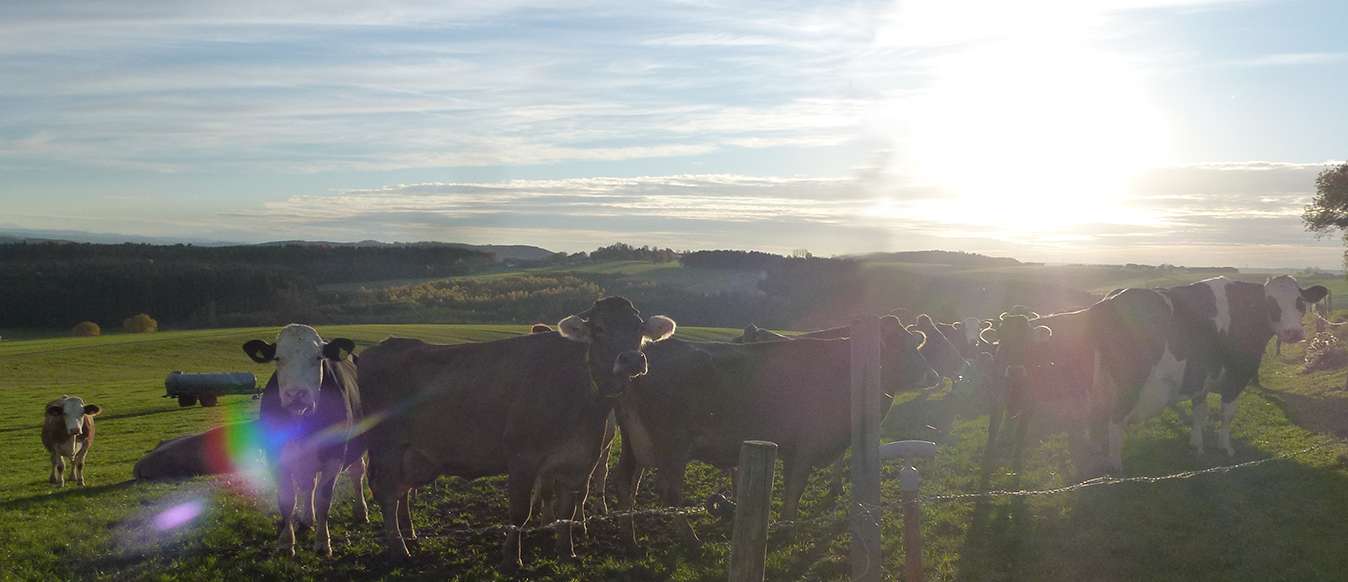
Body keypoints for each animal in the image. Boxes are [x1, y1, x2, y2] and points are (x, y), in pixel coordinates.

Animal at [242, 324, 369, 557]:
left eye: (318, 357)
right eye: (278, 358)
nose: (296, 394)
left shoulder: (335, 456)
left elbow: (323, 500)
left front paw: (322, 542)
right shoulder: (276, 456)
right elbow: (287, 499)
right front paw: (286, 542)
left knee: (357, 473)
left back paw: (360, 511)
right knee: (309, 483)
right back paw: (307, 519)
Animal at [358, 297, 679, 565]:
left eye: (638, 328)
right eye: (599, 328)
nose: (631, 359)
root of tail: (380, 347)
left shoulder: (578, 461)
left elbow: (566, 511)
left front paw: (567, 551)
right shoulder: (523, 459)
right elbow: (520, 512)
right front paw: (513, 557)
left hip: (412, 454)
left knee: (401, 492)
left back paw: (409, 535)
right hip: (386, 448)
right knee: (386, 493)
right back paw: (399, 549)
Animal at [614, 316, 938, 538]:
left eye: (914, 344)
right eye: (897, 348)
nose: (933, 374)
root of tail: (644, 355)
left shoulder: (794, 448)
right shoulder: (807, 445)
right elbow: (795, 488)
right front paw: (786, 529)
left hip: (636, 444)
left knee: (627, 486)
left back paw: (630, 537)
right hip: (672, 446)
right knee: (668, 492)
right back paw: (689, 539)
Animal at [986, 274, 1321, 474]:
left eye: (1300, 303)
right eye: (1271, 304)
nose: (1293, 333)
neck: (1244, 312)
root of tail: (1106, 304)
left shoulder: (1199, 379)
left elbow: (1200, 414)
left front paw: (1197, 446)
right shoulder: (1236, 377)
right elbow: (1226, 416)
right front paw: (1225, 448)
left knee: (1096, 420)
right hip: (1128, 385)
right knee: (1115, 422)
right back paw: (1116, 466)